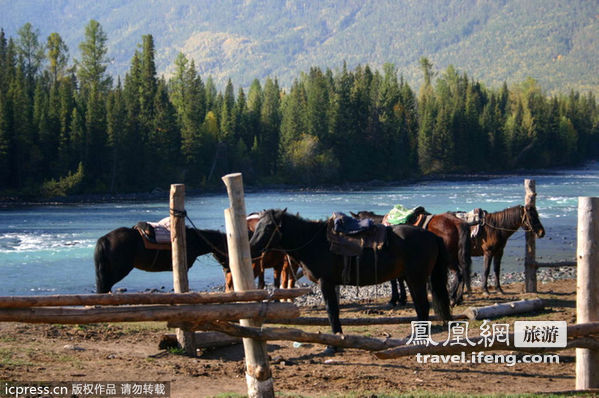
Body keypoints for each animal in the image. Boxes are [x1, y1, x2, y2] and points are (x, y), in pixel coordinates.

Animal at [95, 225, 229, 294]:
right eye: (227, 247)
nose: (228, 269)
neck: (191, 240)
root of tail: (105, 239)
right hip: (118, 271)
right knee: (105, 287)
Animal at [248, 208, 450, 352]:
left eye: (268, 227)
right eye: (257, 225)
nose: (252, 248)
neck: (315, 243)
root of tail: (431, 235)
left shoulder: (326, 283)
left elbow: (332, 312)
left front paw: (333, 345)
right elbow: (335, 311)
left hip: (416, 279)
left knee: (423, 307)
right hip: (411, 279)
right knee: (420, 307)